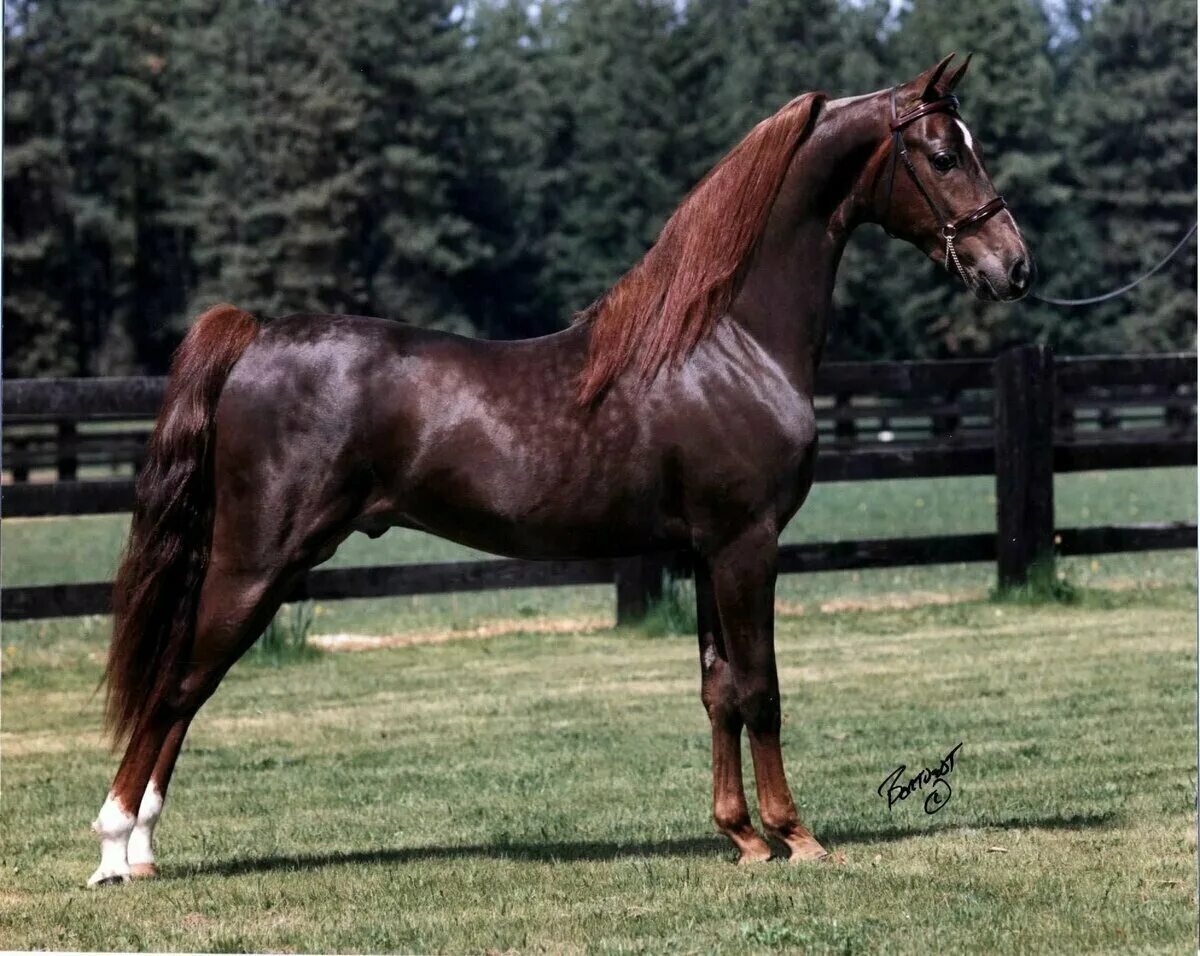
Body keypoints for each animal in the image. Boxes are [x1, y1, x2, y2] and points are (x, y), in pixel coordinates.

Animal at [91, 52, 1032, 882]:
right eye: (943, 154)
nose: (1014, 266)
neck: (729, 342)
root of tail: (254, 338)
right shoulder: (746, 545)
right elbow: (763, 688)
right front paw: (796, 838)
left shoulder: (702, 553)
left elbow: (719, 692)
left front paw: (741, 837)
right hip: (257, 562)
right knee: (179, 682)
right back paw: (114, 849)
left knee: (183, 688)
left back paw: (142, 851)